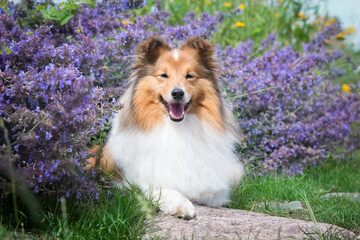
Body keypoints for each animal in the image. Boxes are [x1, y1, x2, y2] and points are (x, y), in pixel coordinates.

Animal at [93, 36, 245, 218]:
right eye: (163, 75)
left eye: (189, 76)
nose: (177, 93)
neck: (176, 128)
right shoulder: (134, 182)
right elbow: (162, 189)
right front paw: (181, 205)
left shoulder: (215, 189)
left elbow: (208, 191)